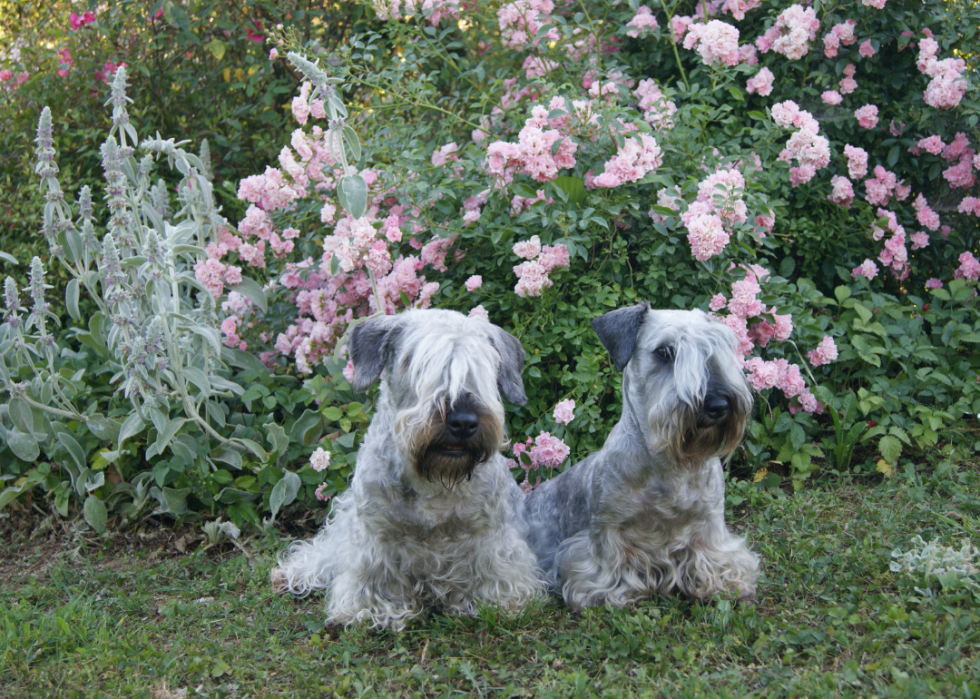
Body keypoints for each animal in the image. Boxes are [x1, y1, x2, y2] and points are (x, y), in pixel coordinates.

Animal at [270, 308, 544, 632]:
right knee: (324, 552)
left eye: (484, 366)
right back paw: (292, 573)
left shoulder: (491, 534)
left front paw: (496, 602)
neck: (434, 483)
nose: (463, 422)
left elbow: (494, 570)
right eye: (414, 361)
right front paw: (372, 610)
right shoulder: (373, 536)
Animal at [524, 304, 760, 608]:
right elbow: (608, 567)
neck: (670, 465)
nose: (718, 405)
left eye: (715, 347)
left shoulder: (710, 522)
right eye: (664, 351)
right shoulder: (607, 529)